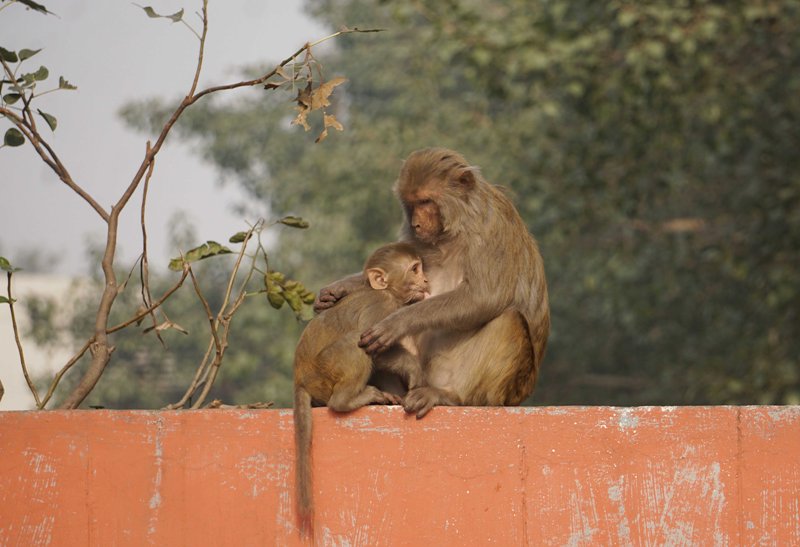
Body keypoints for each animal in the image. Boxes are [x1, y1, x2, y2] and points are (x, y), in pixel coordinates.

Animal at [293, 241, 429, 534]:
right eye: (414, 269)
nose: (426, 280)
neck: (387, 292)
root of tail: (300, 380)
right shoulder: (383, 306)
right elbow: (371, 345)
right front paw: (412, 367)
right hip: (326, 373)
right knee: (354, 342)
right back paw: (347, 400)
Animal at [316, 147, 550, 419]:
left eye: (426, 201)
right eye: (411, 203)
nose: (416, 223)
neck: (455, 226)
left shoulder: (491, 226)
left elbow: (485, 296)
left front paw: (398, 322)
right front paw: (340, 288)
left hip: (505, 391)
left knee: (509, 320)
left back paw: (451, 397)